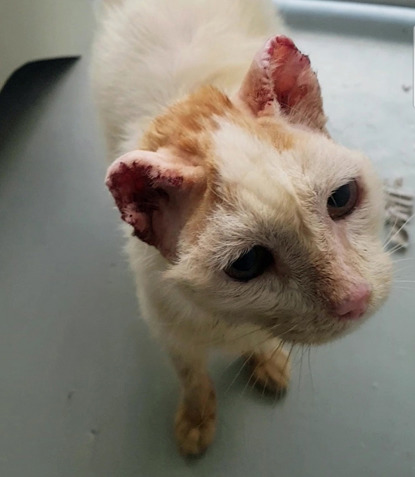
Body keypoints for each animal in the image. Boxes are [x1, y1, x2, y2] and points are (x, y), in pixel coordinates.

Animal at [92, 0, 394, 456]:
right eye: (248, 263)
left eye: (342, 198)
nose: (355, 299)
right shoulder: (167, 326)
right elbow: (191, 374)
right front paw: (197, 416)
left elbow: (256, 342)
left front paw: (264, 357)